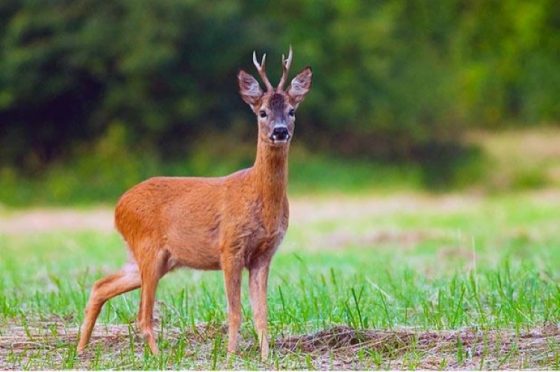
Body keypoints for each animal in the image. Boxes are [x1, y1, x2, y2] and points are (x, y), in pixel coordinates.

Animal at [75, 47, 312, 360]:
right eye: (262, 112)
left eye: (292, 110)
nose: (280, 131)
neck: (258, 197)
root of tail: (118, 207)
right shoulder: (230, 247)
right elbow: (235, 311)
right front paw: (230, 356)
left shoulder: (264, 254)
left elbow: (262, 313)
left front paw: (266, 357)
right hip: (148, 248)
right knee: (142, 315)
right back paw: (158, 357)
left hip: (157, 257)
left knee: (100, 285)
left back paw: (80, 349)